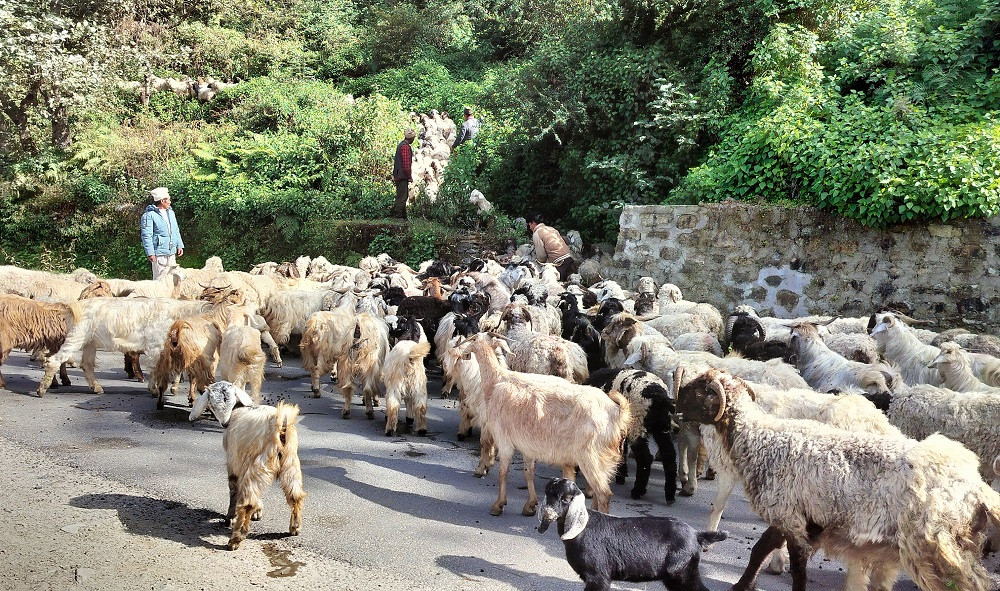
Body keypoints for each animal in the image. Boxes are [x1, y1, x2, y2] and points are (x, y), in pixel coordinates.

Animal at [540, 478, 728, 591]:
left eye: (566, 499)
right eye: (548, 493)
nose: (548, 514)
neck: (581, 529)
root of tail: (697, 534)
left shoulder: (598, 577)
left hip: (684, 572)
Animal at [584, 370, 676, 504]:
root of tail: (660, 398)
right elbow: (621, 452)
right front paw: (621, 475)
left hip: (637, 425)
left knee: (645, 458)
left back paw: (638, 491)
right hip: (661, 427)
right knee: (669, 455)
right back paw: (670, 495)